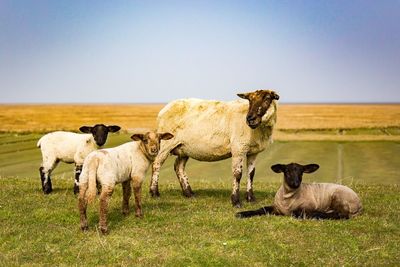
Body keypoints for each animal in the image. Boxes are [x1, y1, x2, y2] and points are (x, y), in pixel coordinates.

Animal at [148, 89, 280, 207]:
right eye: (249, 100)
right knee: (156, 164)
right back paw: (154, 193)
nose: (250, 119)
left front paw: (251, 199)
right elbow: (237, 174)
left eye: (267, 99)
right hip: (166, 143)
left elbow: (251, 174)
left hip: (184, 148)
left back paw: (189, 193)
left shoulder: (253, 152)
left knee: (179, 167)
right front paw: (236, 201)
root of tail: (164, 109)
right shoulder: (238, 148)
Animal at [236, 163, 364, 220]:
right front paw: (242, 214)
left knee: (341, 215)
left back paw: (318, 215)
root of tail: (359, 205)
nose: (295, 183)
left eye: (301, 172)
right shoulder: (275, 207)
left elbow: (297, 212)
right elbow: (261, 209)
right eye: (287, 171)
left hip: (338, 197)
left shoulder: (307, 206)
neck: (287, 198)